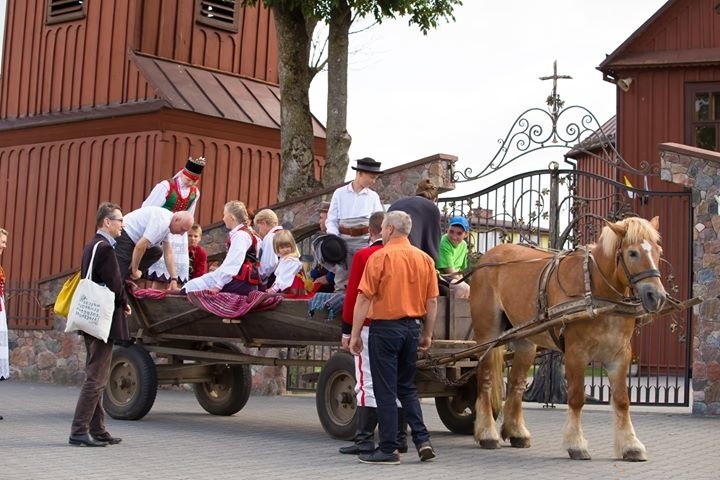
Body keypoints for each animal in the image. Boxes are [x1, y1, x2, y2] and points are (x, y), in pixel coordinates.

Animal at [470, 216, 668, 460]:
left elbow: (622, 400)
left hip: (525, 340)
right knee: (486, 380)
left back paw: (516, 431)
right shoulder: (576, 353)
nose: (657, 297)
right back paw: (487, 433)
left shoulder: (620, 355)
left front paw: (630, 445)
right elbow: (576, 398)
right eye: (632, 253)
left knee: (516, 383)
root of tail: (488, 258)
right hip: (487, 336)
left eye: (658, 251)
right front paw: (576, 444)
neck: (595, 291)